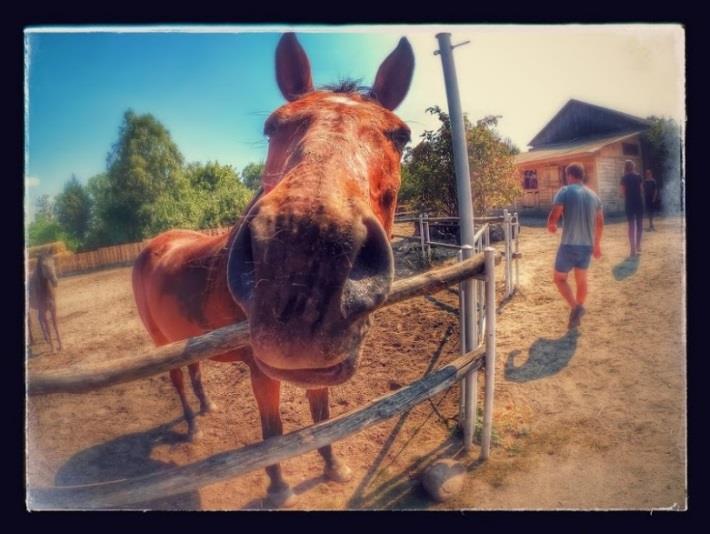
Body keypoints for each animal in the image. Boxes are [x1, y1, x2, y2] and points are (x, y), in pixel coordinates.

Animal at [132, 31, 418, 508]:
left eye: (401, 137)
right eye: (272, 127)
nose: (302, 271)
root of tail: (155, 244)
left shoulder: (317, 367)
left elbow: (321, 416)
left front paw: (333, 467)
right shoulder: (261, 370)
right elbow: (274, 434)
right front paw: (280, 487)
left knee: (193, 370)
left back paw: (206, 408)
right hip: (160, 342)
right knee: (176, 378)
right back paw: (192, 425)